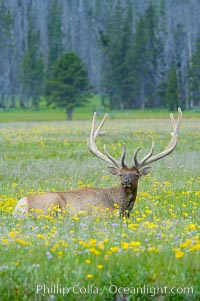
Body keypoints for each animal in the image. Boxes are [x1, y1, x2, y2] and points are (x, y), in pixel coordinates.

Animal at [13, 108, 183, 216]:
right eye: (120, 174)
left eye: (136, 174)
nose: (126, 181)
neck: (120, 208)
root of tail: (22, 204)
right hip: (50, 205)